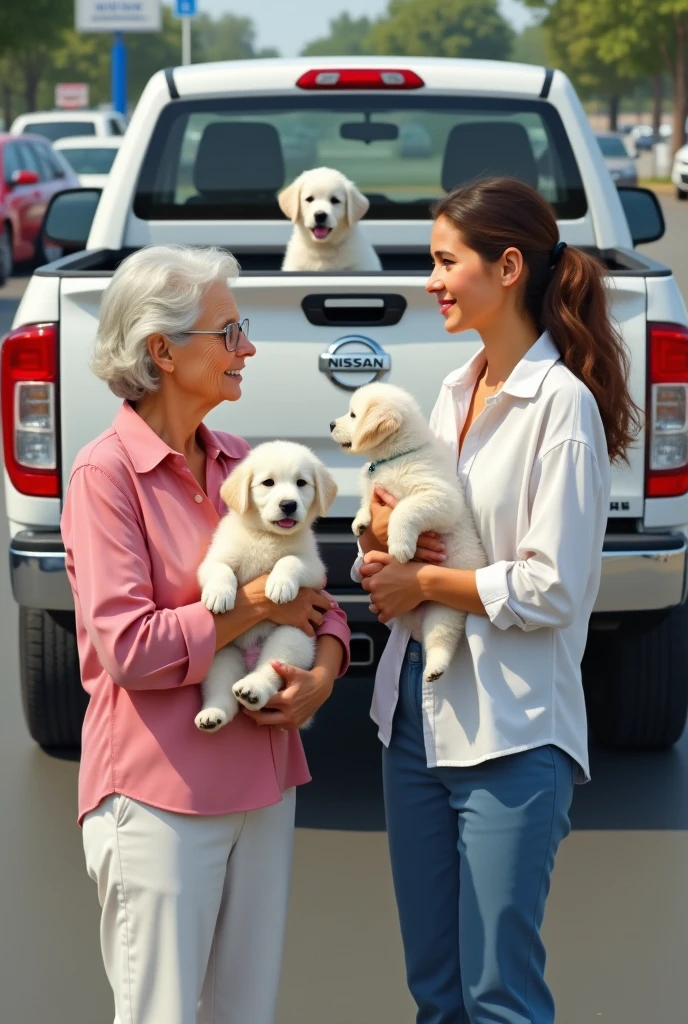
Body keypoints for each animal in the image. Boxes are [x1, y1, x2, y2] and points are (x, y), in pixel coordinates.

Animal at [194, 444, 337, 733]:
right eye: (268, 483)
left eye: (301, 483)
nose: (288, 504)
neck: (267, 536)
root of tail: (251, 656)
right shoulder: (215, 558)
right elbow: (220, 569)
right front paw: (218, 594)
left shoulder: (314, 568)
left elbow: (289, 560)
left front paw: (279, 584)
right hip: (221, 652)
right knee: (222, 693)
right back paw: (213, 714)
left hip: (293, 636)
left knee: (269, 673)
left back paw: (253, 689)